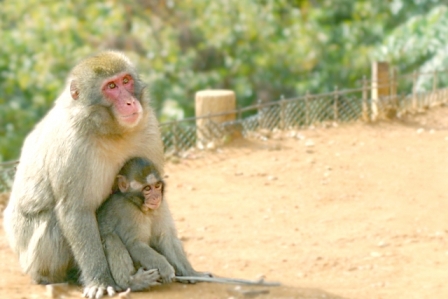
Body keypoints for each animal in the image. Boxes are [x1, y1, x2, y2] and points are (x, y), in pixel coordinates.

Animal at [2, 52, 166, 299]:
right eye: (111, 87)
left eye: (126, 81)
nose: (129, 102)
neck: (110, 131)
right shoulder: (72, 148)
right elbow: (76, 210)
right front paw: (100, 280)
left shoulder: (149, 128)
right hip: (32, 257)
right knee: (54, 223)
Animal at [97, 157, 207, 290]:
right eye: (147, 189)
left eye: (157, 186)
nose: (156, 197)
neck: (140, 206)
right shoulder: (128, 212)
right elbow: (134, 244)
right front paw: (165, 267)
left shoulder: (161, 205)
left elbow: (166, 238)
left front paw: (192, 273)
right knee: (110, 237)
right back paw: (132, 282)